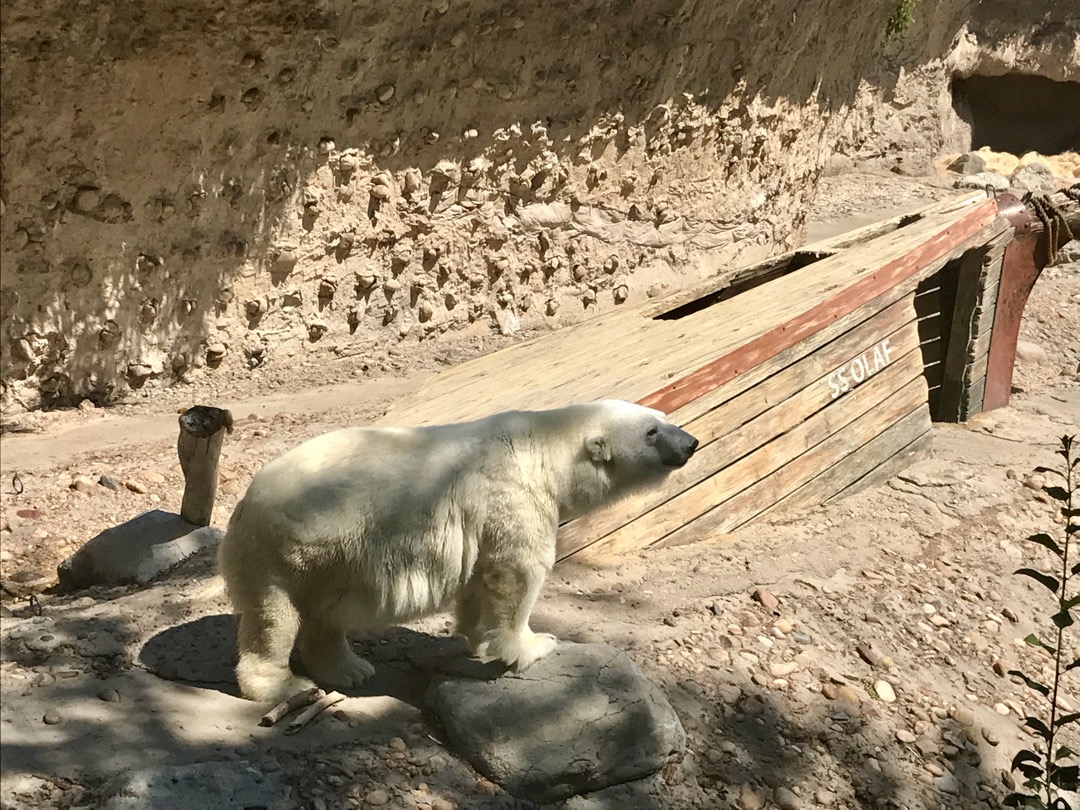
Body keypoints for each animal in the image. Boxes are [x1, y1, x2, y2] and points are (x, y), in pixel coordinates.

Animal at [217, 401, 699, 704]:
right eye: (652, 431)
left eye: (664, 417)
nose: (691, 443)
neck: (543, 448)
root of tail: (244, 502)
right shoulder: (514, 494)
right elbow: (519, 569)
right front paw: (533, 645)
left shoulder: (479, 521)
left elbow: (480, 578)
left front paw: (477, 639)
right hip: (284, 550)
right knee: (274, 617)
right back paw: (283, 686)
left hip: (330, 562)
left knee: (325, 614)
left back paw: (350, 668)